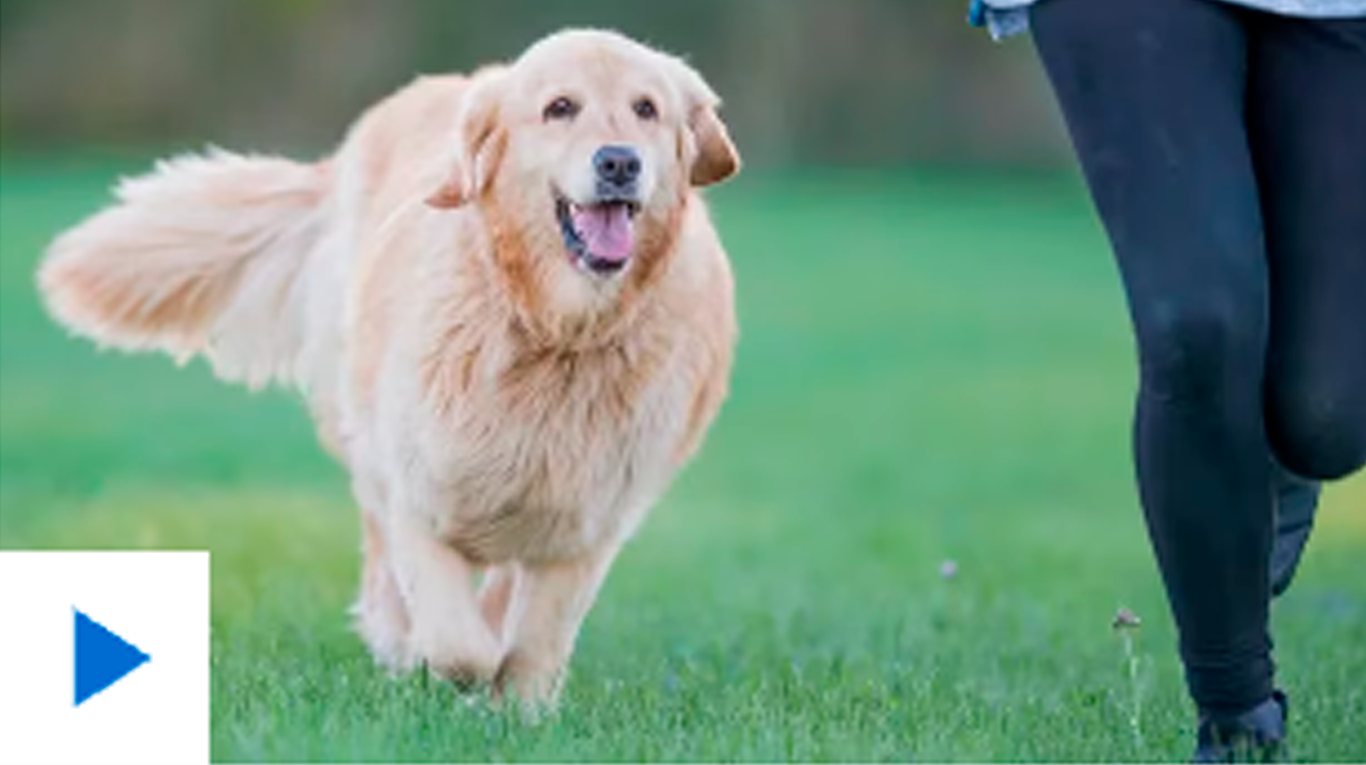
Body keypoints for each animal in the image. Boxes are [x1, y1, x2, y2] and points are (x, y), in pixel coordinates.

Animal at [34, 29, 737, 710]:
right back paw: (401, 646)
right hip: (363, 435)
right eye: (559, 108)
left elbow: (535, 639)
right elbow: (458, 643)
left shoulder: (589, 521)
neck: (553, 330)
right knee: (384, 568)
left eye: (647, 109)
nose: (619, 162)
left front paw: (519, 711)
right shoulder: (418, 489)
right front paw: (443, 665)